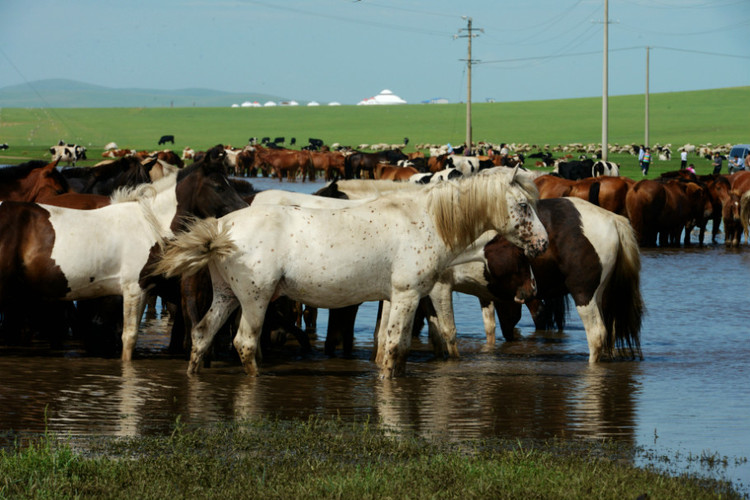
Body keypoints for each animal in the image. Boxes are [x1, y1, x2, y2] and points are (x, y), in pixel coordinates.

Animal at [154, 166, 552, 376]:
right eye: (522, 206)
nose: (543, 243)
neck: (427, 219)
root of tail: (221, 228)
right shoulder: (409, 295)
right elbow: (395, 345)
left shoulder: (393, 297)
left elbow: (388, 344)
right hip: (255, 299)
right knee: (245, 343)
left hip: (226, 296)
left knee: (202, 334)